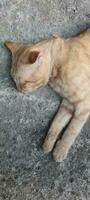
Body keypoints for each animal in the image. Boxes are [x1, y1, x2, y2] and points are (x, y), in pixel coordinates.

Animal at [4, 28, 90, 162]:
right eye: (14, 81)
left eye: (25, 83)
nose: (18, 90)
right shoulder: (67, 104)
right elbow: (56, 123)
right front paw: (48, 145)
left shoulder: (84, 105)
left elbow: (71, 130)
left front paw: (60, 150)